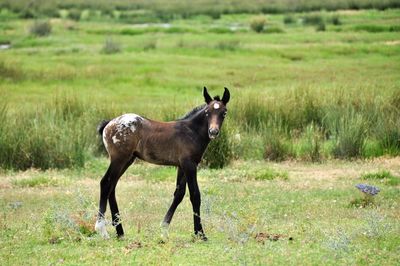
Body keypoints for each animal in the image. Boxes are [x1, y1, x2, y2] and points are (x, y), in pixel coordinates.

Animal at [95, 88, 230, 241]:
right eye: (207, 112)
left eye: (224, 112)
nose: (213, 132)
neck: (191, 132)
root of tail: (109, 123)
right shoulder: (190, 165)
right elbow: (195, 195)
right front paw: (200, 234)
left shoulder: (182, 166)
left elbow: (179, 194)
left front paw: (164, 229)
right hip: (119, 159)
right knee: (106, 183)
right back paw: (102, 230)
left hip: (127, 160)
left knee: (112, 186)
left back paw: (120, 232)